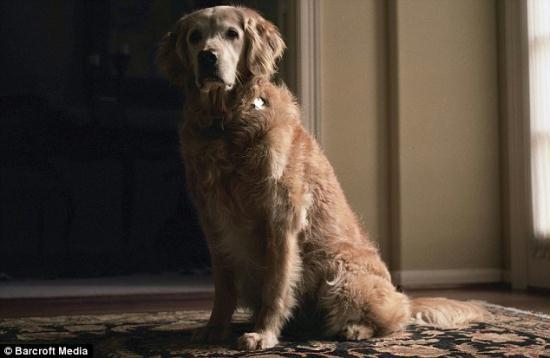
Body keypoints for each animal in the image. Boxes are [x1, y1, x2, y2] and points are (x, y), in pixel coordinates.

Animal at [156, 5, 492, 350]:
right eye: (195, 36)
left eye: (232, 34)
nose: (208, 57)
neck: (226, 123)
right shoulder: (214, 223)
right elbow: (223, 290)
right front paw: (214, 330)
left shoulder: (281, 218)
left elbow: (276, 287)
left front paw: (264, 333)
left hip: (338, 269)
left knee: (395, 318)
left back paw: (355, 328)